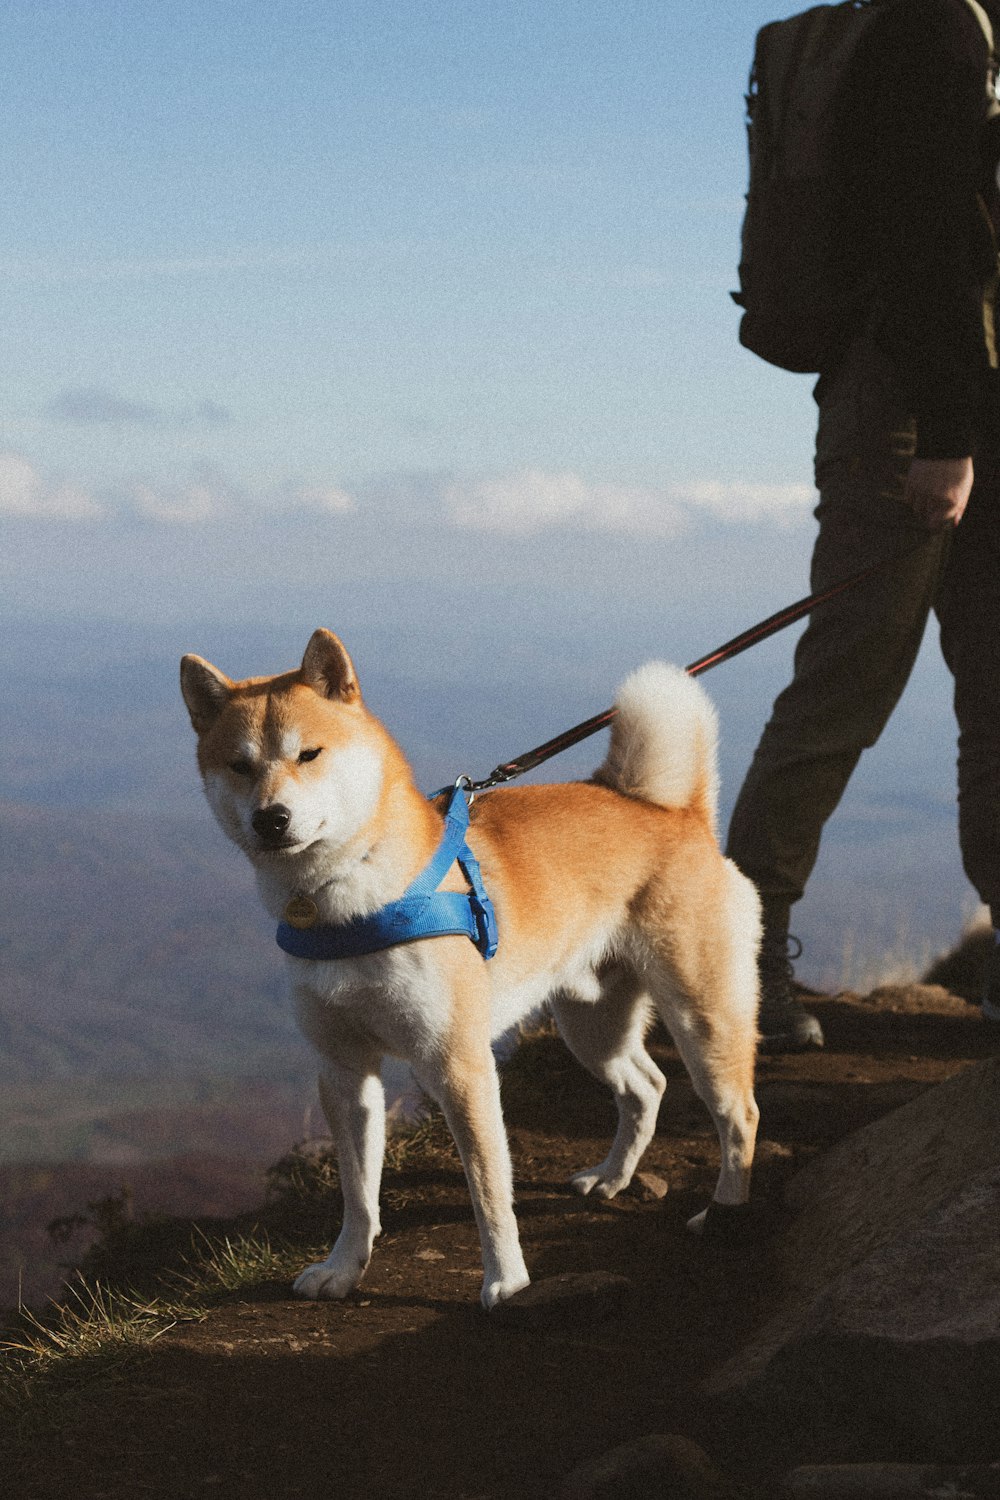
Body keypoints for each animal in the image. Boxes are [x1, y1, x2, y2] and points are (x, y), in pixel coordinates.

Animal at [179, 627, 761, 1308]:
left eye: (309, 754)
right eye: (239, 765)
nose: (270, 818)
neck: (348, 902)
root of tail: (674, 813)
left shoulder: (458, 1065)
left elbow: (488, 1192)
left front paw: (506, 1280)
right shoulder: (345, 1072)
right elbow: (358, 1194)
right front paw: (344, 1268)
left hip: (702, 1019)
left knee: (739, 1115)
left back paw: (724, 1213)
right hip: (591, 1027)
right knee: (647, 1086)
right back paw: (612, 1178)